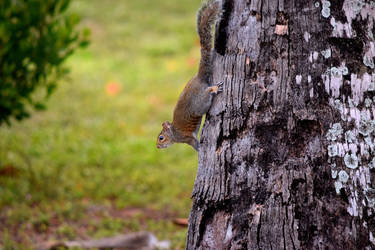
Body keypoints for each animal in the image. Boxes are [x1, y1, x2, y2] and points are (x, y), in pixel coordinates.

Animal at [156, 0, 222, 151]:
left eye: (161, 138)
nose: (157, 147)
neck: (174, 134)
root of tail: (198, 78)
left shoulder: (186, 138)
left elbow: (194, 144)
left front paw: (199, 150)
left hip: (200, 104)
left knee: (207, 93)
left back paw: (214, 89)